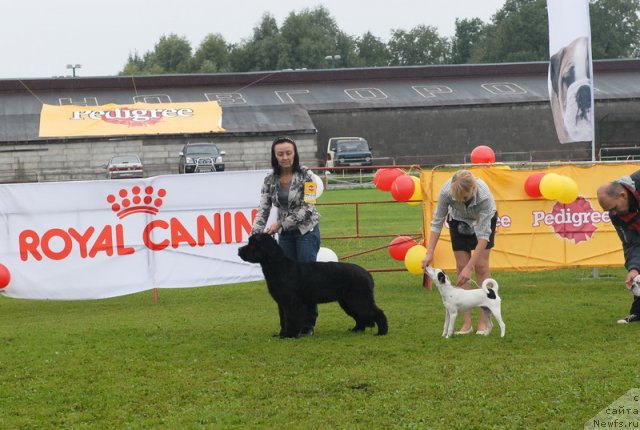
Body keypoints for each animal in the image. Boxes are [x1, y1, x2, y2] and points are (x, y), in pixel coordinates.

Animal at [238, 233, 388, 338]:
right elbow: (283, 319)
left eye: (252, 244)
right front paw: (281, 334)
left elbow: (291, 318)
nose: (239, 250)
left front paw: (289, 335)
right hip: (348, 301)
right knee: (360, 317)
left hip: (358, 299)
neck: (280, 267)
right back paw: (356, 330)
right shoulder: (282, 302)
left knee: (377, 312)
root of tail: (367, 273)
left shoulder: (292, 302)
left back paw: (382, 332)